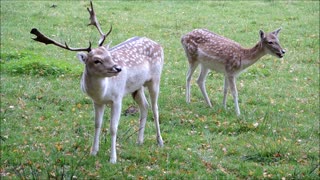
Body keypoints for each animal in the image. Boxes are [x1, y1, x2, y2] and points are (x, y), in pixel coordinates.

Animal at [31, 0, 164, 163]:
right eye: (96, 60)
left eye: (109, 55)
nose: (118, 68)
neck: (103, 92)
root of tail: (159, 44)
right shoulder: (97, 102)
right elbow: (97, 124)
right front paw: (93, 152)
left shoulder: (117, 97)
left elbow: (113, 128)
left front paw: (113, 159)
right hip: (136, 87)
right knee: (144, 107)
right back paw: (139, 140)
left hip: (155, 78)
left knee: (155, 108)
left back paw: (160, 141)